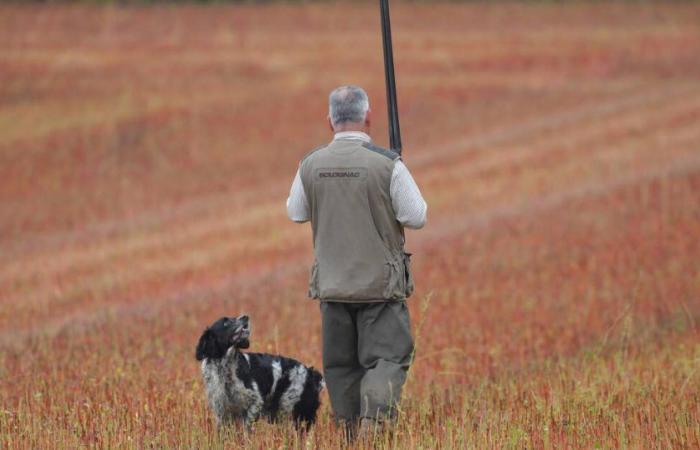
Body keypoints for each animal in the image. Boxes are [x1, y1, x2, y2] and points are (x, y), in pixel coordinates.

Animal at [193, 314, 322, 428]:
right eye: (225, 323)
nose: (245, 316)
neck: (224, 367)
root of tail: (310, 372)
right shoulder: (221, 410)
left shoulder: (255, 402)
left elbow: (246, 428)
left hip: (292, 411)